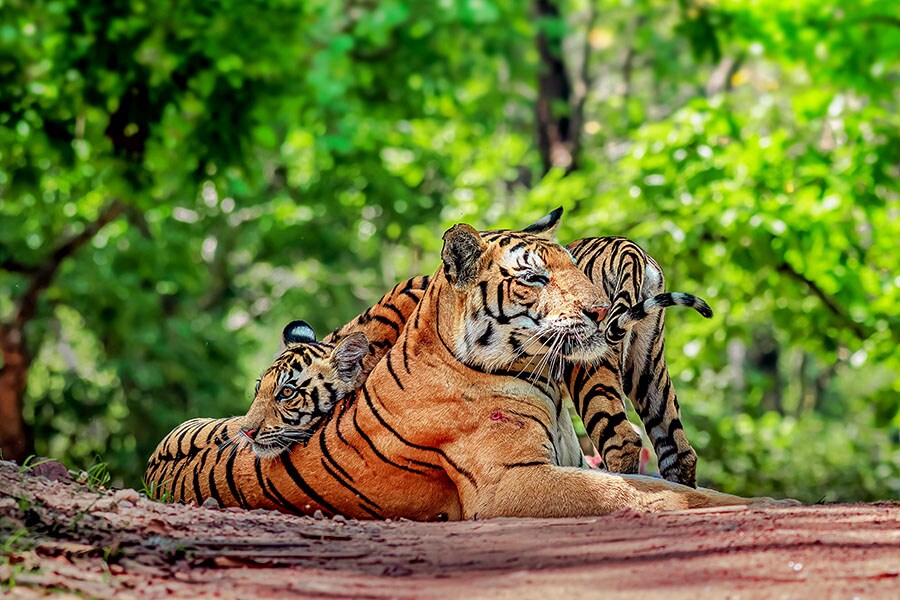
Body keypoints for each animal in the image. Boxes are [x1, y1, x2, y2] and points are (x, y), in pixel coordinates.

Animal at [144, 209, 784, 516]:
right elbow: (641, 493)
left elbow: (645, 487)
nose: (248, 433)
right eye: (533, 277)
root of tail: (628, 252)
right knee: (654, 450)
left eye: (288, 393)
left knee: (656, 448)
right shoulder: (513, 482)